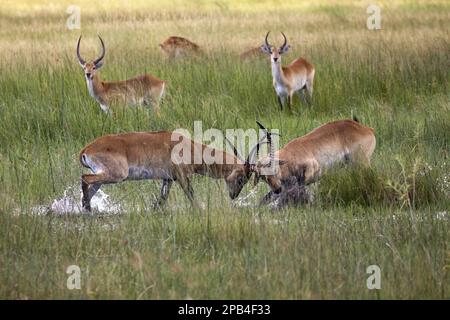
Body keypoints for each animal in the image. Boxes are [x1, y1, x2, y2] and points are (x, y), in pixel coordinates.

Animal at [78, 129, 268, 211]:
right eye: (242, 178)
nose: (233, 196)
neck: (191, 147)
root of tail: (87, 148)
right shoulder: (182, 176)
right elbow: (192, 196)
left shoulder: (168, 179)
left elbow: (161, 201)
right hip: (116, 175)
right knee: (84, 179)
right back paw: (88, 210)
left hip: (103, 177)